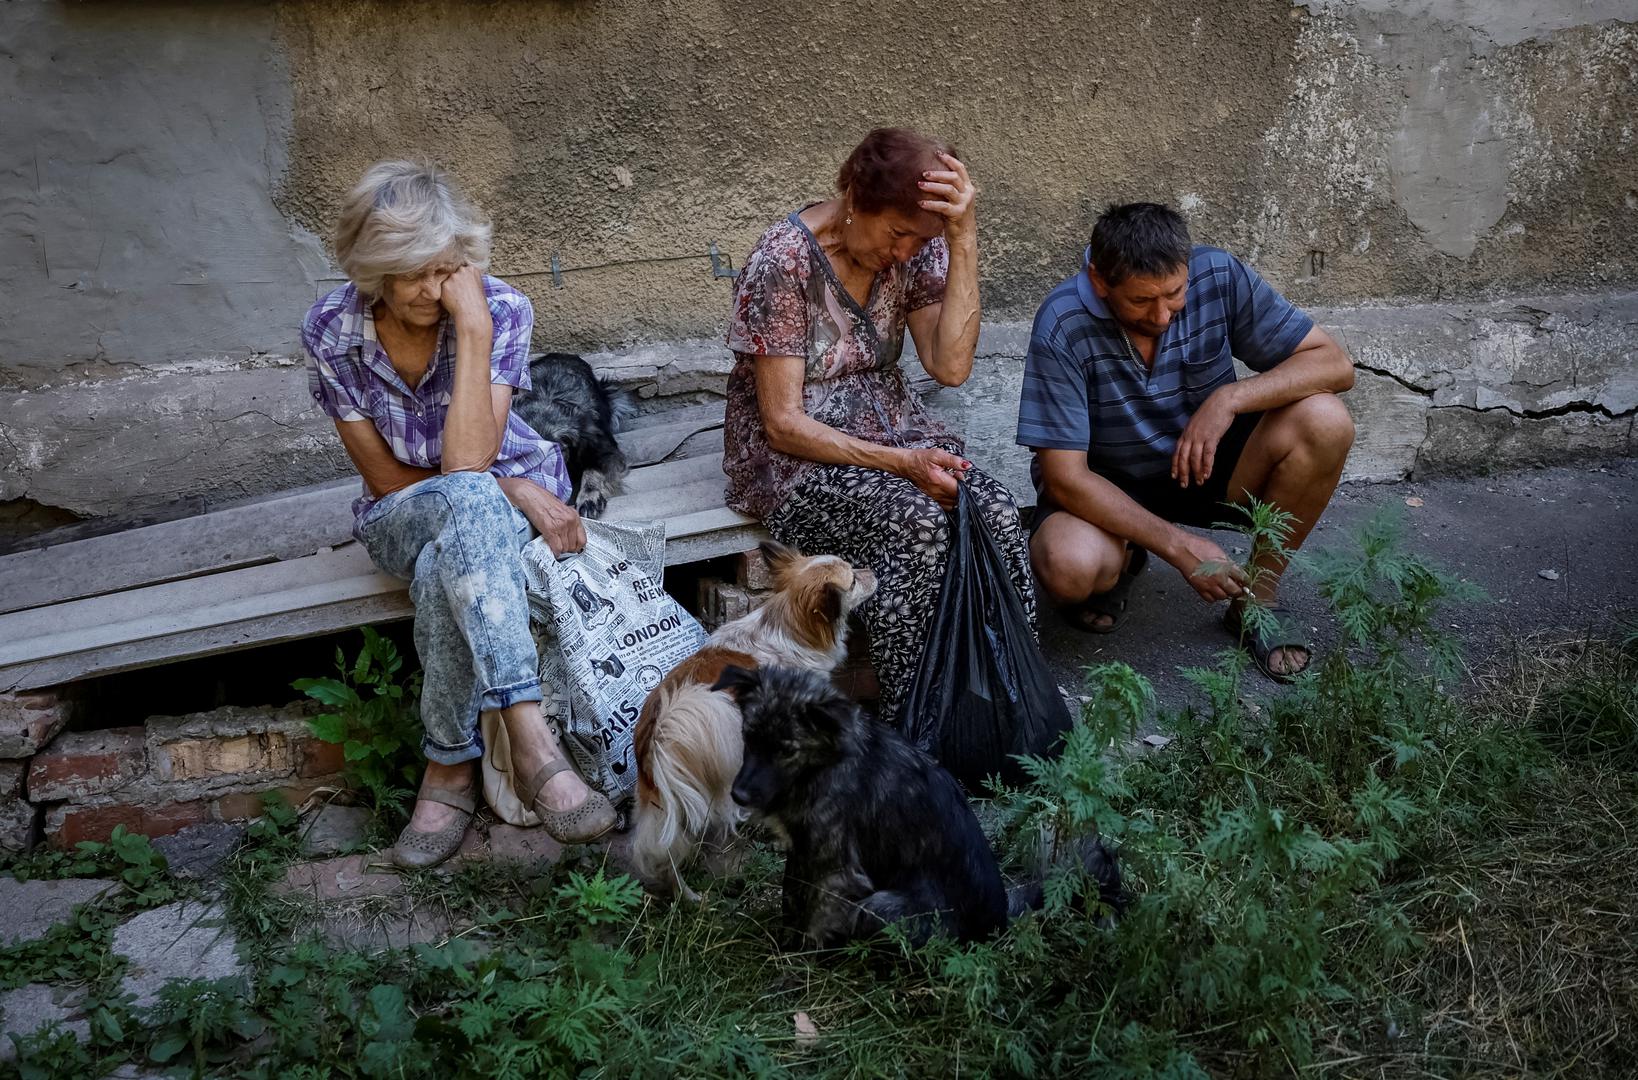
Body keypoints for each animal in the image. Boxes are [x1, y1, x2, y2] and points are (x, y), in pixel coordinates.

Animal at [632, 537, 877, 898]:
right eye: (853, 580)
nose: (874, 571)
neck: (787, 628)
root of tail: (656, 733)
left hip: (668, 802)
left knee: (664, 851)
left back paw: (683, 894)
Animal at [717, 662, 1009, 950]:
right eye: (747, 736)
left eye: (787, 751)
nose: (738, 795)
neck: (821, 767)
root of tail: (993, 932)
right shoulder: (802, 849)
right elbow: (791, 897)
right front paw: (783, 943)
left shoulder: (836, 870)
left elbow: (814, 920)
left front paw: (799, 958)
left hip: (878, 905)